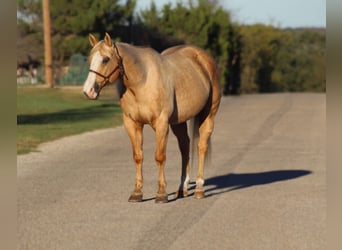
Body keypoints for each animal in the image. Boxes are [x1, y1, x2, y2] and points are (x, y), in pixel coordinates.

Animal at [84, 32, 220, 203]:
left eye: (106, 59)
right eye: (90, 58)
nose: (88, 91)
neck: (143, 81)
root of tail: (203, 58)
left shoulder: (161, 124)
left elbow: (159, 157)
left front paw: (161, 193)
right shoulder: (132, 124)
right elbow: (138, 156)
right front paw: (137, 192)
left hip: (209, 115)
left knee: (201, 147)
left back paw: (199, 189)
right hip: (178, 122)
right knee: (185, 147)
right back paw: (181, 188)